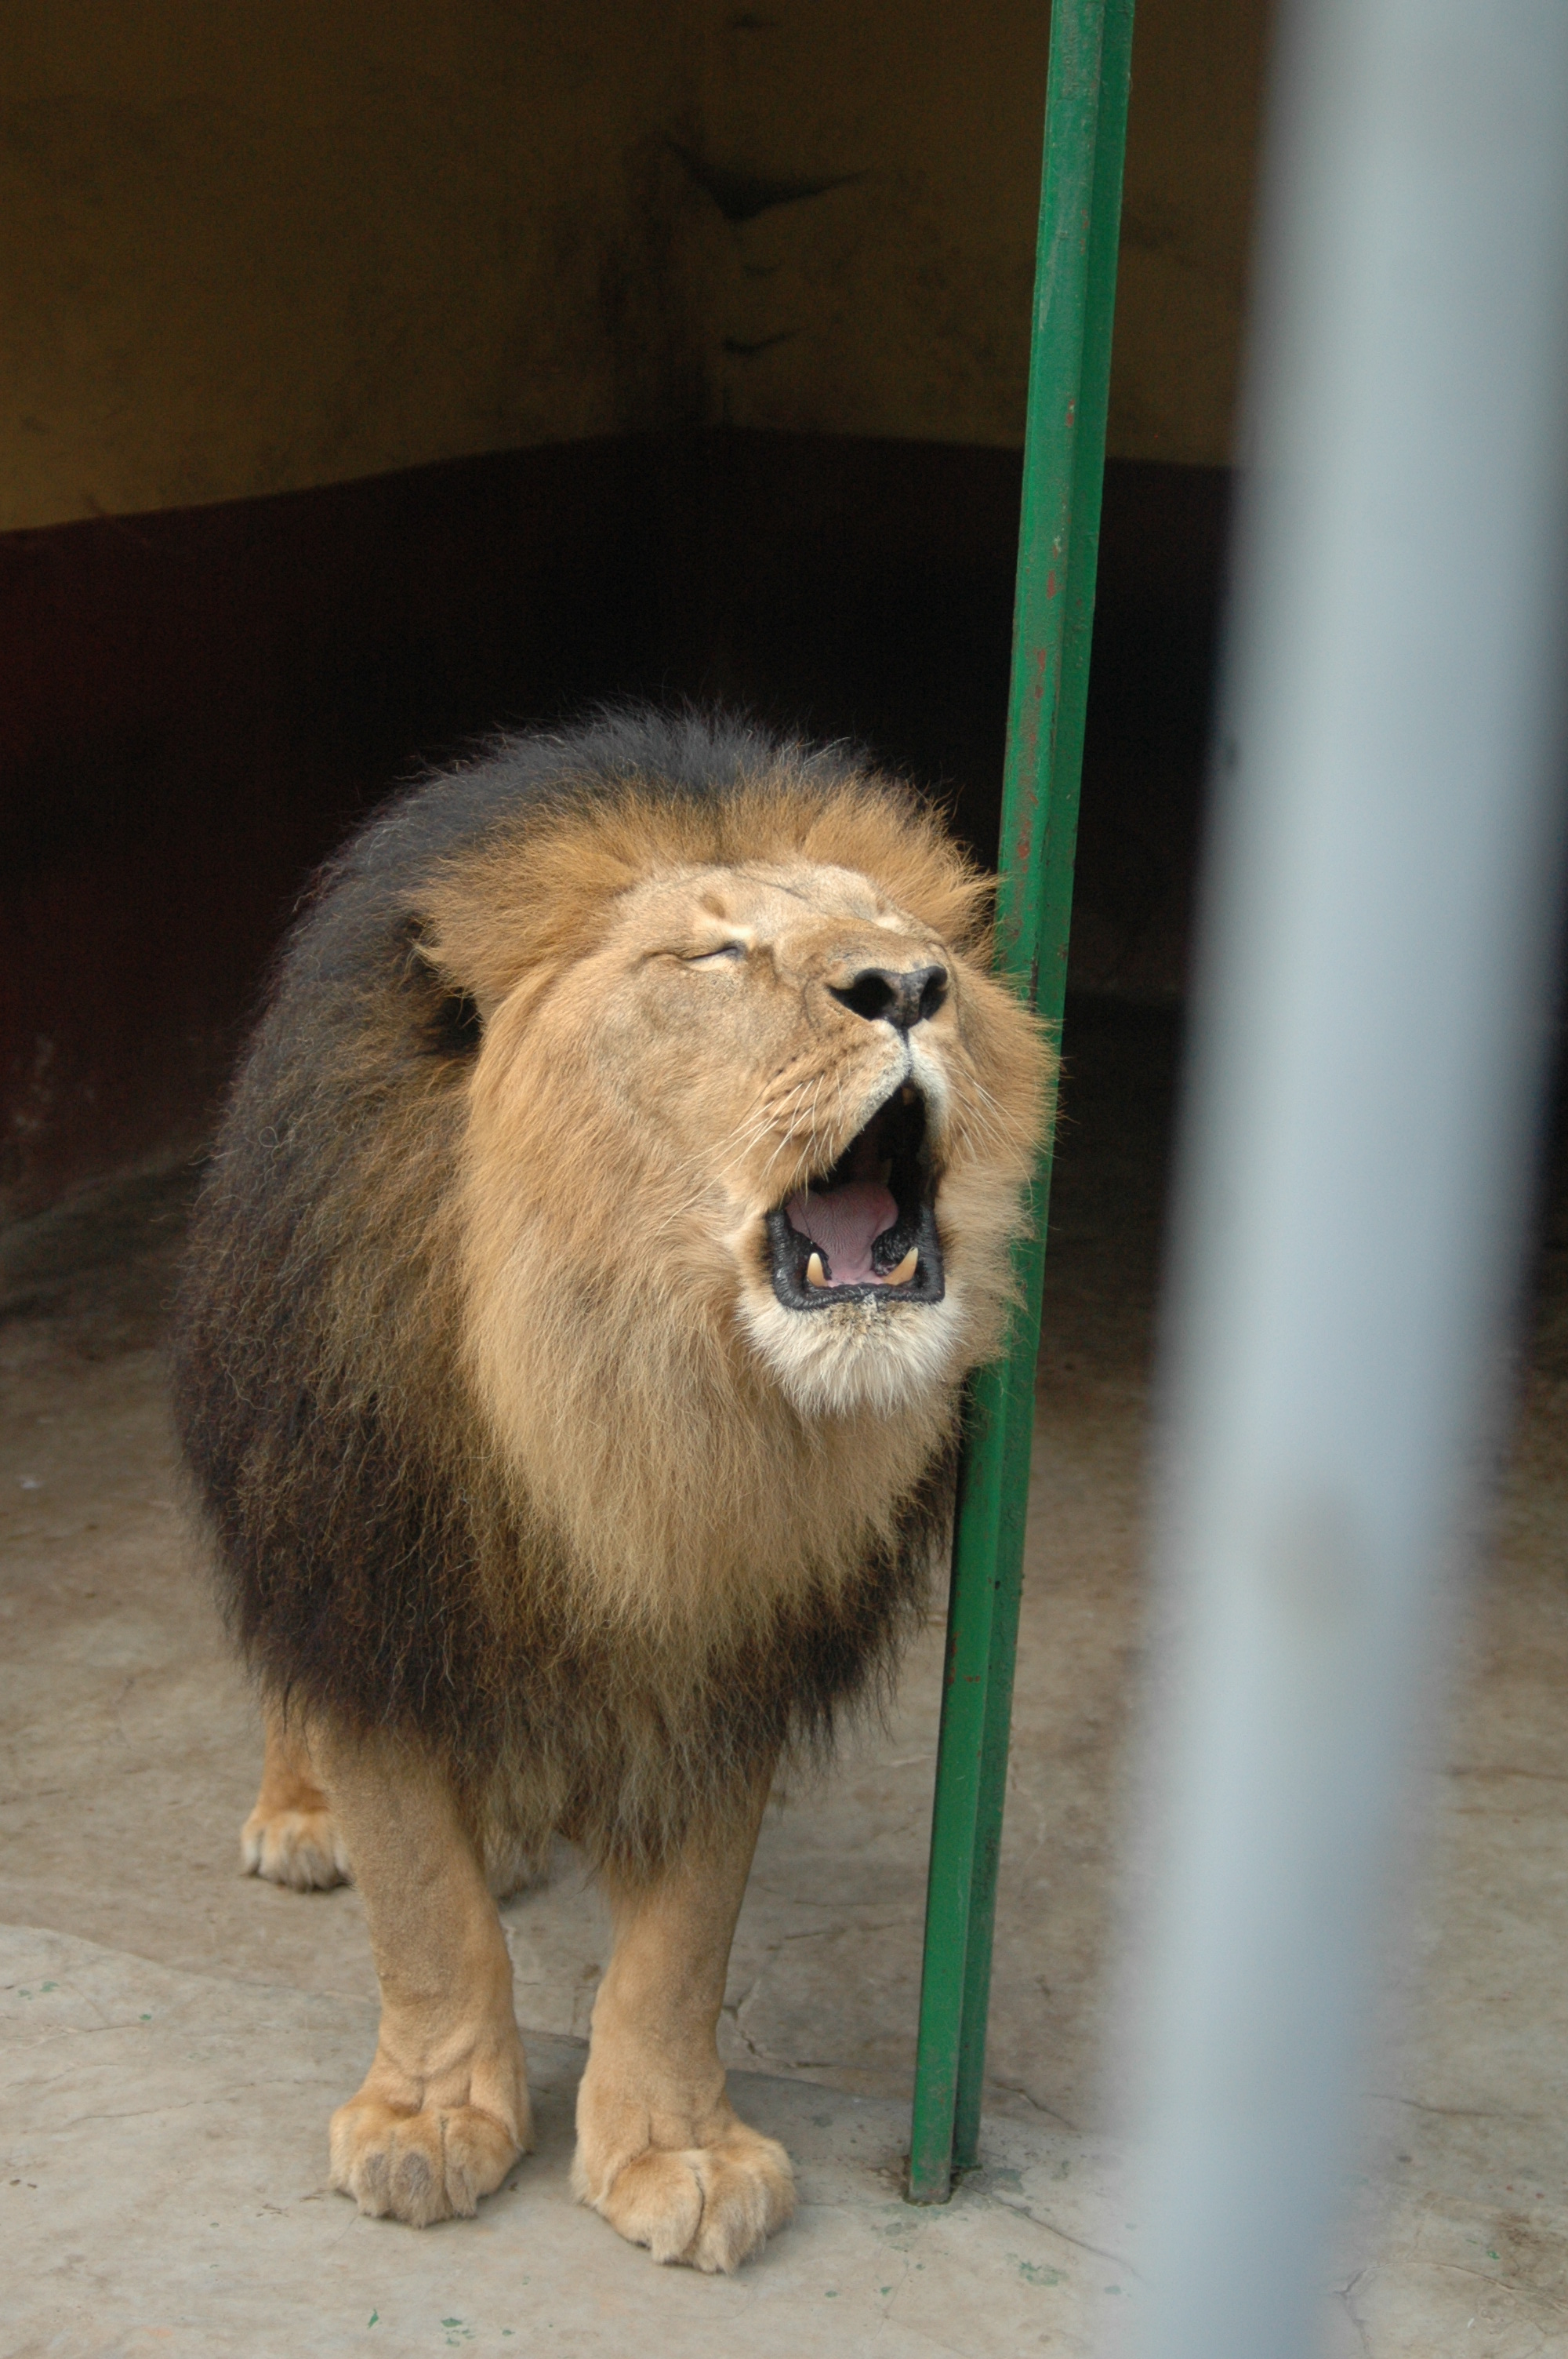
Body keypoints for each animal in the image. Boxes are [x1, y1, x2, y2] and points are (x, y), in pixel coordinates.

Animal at [171, 703, 1047, 2264]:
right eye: (714, 956)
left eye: (908, 941)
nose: (907, 988)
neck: (633, 1400)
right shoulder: (367, 1561)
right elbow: (425, 1904)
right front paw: (429, 2121)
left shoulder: (729, 1642)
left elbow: (684, 1940)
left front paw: (675, 2148)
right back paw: (303, 1812)